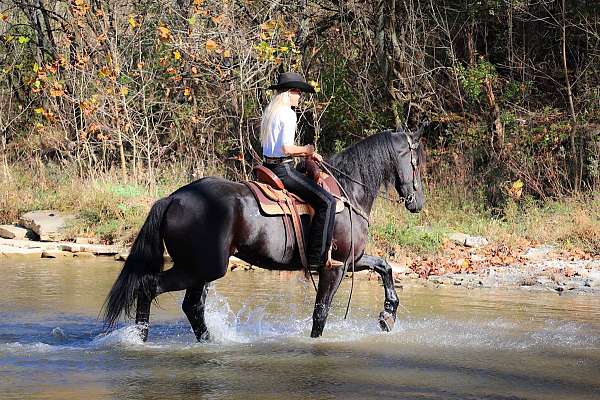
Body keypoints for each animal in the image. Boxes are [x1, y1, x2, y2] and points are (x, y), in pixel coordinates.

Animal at [103, 128, 424, 340]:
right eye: (416, 161)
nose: (417, 202)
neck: (348, 192)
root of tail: (172, 198)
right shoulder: (334, 268)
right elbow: (320, 313)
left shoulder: (350, 261)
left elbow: (384, 267)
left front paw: (388, 315)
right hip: (200, 268)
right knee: (150, 287)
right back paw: (142, 340)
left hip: (202, 271)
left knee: (192, 306)